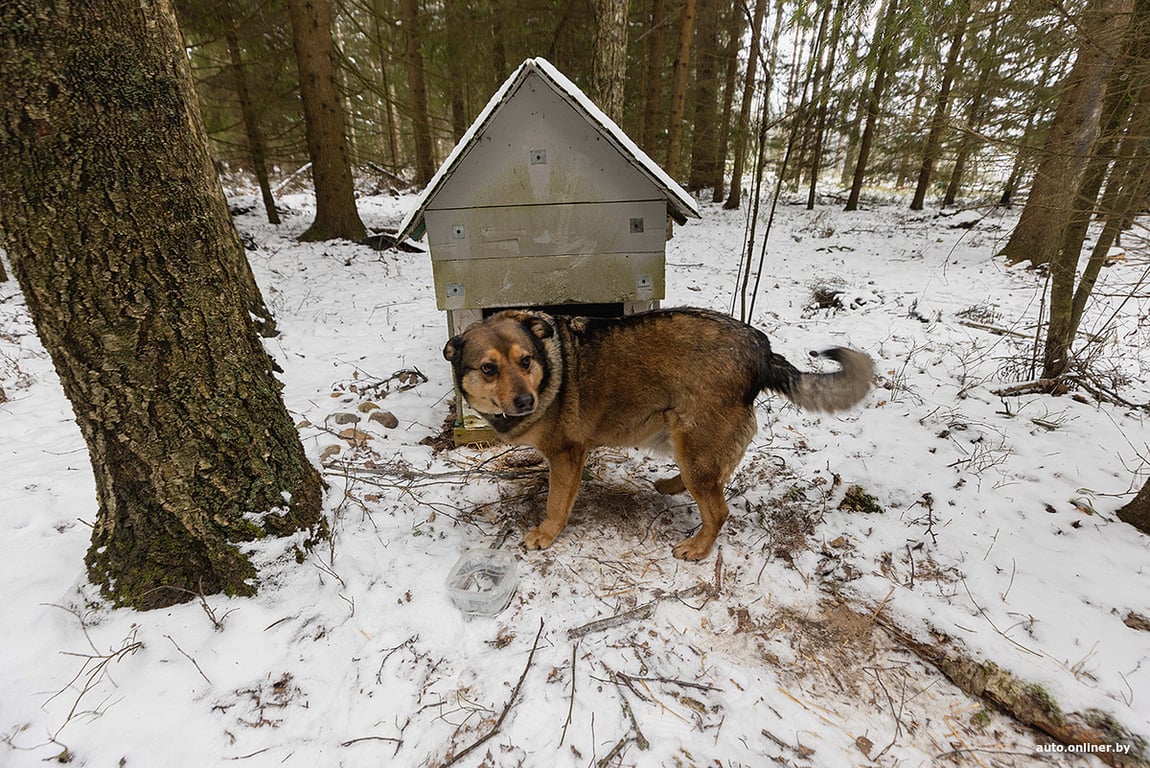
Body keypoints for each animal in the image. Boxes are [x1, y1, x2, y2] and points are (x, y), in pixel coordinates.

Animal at [441, 308, 869, 561]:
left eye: (526, 361)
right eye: (489, 369)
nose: (526, 400)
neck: (550, 366)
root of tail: (762, 351)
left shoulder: (566, 455)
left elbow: (556, 504)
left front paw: (545, 534)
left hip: (694, 442)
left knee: (718, 509)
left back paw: (697, 547)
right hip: (690, 443)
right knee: (713, 480)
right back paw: (670, 486)